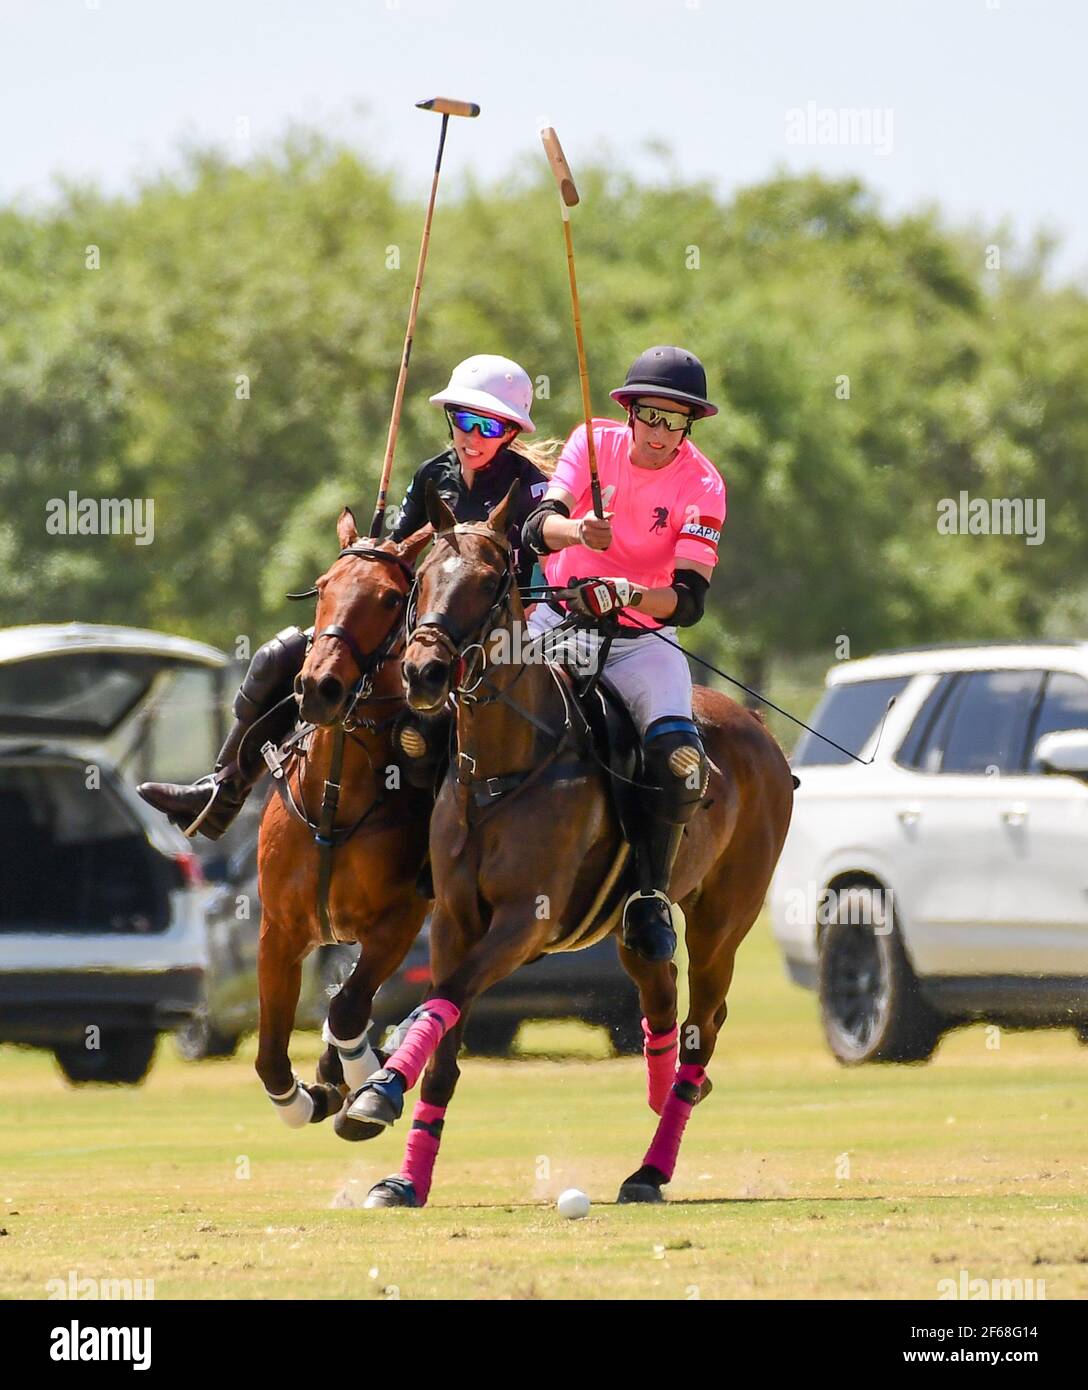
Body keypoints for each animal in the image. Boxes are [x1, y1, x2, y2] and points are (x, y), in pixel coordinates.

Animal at [254, 508, 433, 1128]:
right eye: (323, 586)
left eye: (389, 598)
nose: (318, 688)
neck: (335, 796)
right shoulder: (279, 930)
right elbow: (269, 1058)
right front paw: (310, 1097)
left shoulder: (402, 917)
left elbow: (350, 1008)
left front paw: (359, 1087)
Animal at [344, 486, 794, 1206]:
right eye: (424, 578)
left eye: (489, 583)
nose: (424, 672)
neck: (499, 769)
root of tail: (758, 727)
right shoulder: (454, 920)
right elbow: (444, 1032)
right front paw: (403, 1173)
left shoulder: (526, 919)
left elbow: (446, 998)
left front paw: (379, 1091)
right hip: (631, 920)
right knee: (657, 981)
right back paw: (661, 1088)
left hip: (725, 920)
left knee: (705, 1022)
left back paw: (652, 1166)